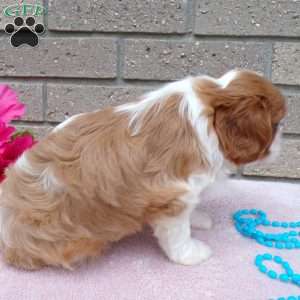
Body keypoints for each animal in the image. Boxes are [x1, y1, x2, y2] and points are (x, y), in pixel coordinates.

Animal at [0, 69, 286, 270]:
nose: (282, 140)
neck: (208, 107)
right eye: (275, 125)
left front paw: (198, 218)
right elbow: (178, 233)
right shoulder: (172, 195)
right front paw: (191, 254)